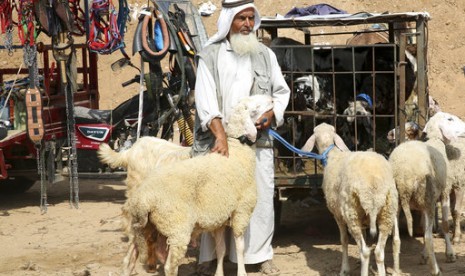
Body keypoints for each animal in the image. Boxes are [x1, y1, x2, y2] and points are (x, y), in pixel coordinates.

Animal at [119, 95, 274, 276]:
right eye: (254, 107)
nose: (271, 100)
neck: (238, 152)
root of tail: (143, 200)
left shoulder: (219, 216)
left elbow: (220, 249)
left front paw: (219, 273)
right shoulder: (241, 211)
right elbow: (240, 247)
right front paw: (242, 272)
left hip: (144, 227)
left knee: (131, 253)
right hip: (177, 226)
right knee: (170, 266)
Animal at [300, 122, 398, 276]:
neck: (332, 154)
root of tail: (373, 187)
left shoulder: (338, 214)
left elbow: (344, 239)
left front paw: (344, 269)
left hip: (352, 213)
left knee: (365, 251)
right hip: (387, 212)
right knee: (378, 252)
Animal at [388, 111, 460, 274]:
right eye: (450, 119)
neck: (436, 141)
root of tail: (403, 175)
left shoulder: (428, 203)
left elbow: (424, 224)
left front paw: (424, 255)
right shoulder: (443, 193)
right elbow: (444, 225)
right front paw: (450, 253)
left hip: (396, 203)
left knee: (395, 239)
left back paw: (396, 270)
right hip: (426, 198)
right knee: (428, 238)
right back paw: (435, 270)